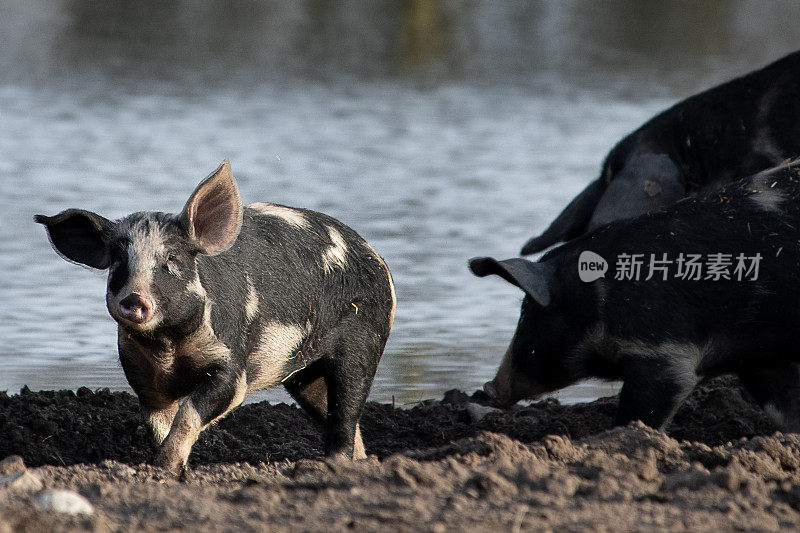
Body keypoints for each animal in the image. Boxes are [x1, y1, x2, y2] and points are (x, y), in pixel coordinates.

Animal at [36, 159, 396, 470]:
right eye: (118, 259)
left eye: (172, 259)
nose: (134, 298)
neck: (169, 347)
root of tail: (376, 256)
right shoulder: (143, 377)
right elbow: (159, 422)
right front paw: (169, 467)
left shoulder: (232, 366)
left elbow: (192, 411)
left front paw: (165, 467)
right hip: (305, 372)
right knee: (336, 415)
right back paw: (360, 462)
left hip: (363, 342)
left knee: (346, 411)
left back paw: (336, 464)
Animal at [476, 160, 800, 430]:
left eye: (528, 313)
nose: (488, 388)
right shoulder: (761, 357)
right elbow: (785, 408)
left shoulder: (661, 348)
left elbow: (651, 401)